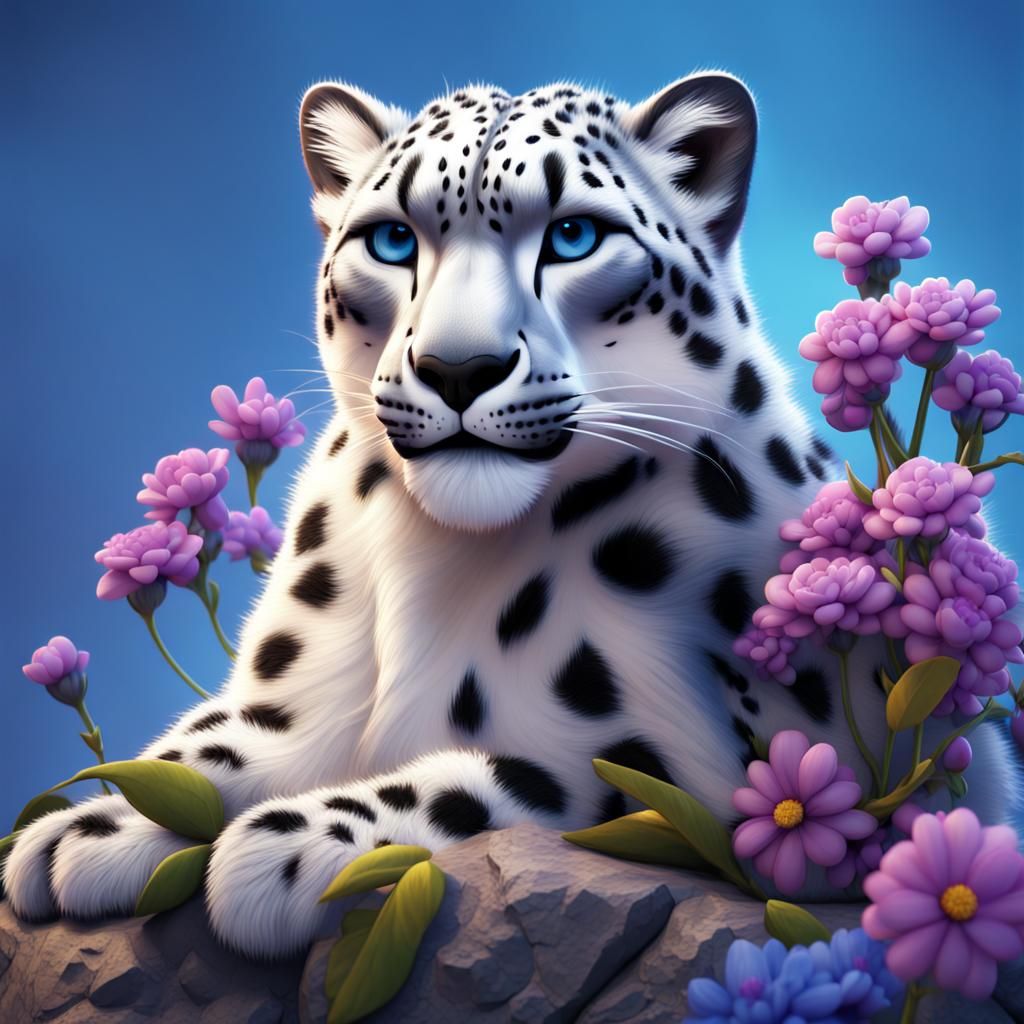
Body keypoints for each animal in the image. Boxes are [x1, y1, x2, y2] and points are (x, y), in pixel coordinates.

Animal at [5, 72, 1014, 958]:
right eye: (392, 240)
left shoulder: (721, 761)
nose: (460, 368)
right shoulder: (291, 692)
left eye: (572, 235)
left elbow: (527, 778)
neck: (433, 563)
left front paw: (285, 845)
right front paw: (90, 827)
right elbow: (213, 744)